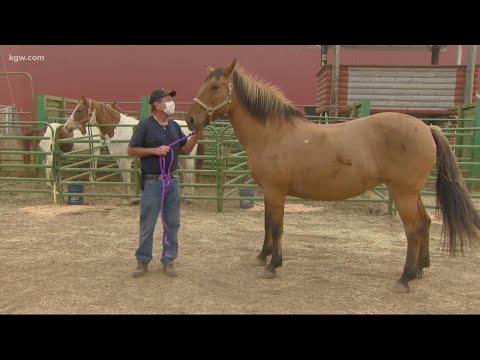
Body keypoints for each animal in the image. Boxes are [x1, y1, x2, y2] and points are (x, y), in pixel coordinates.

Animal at [186, 58, 480, 292]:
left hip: (403, 193)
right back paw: (420, 269)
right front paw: (263, 255)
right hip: (412, 192)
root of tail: (427, 127)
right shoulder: (269, 193)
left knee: (414, 229)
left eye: (215, 87)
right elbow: (268, 224)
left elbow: (277, 227)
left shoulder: (276, 191)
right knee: (426, 222)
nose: (190, 120)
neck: (273, 133)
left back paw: (404, 278)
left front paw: (272, 266)